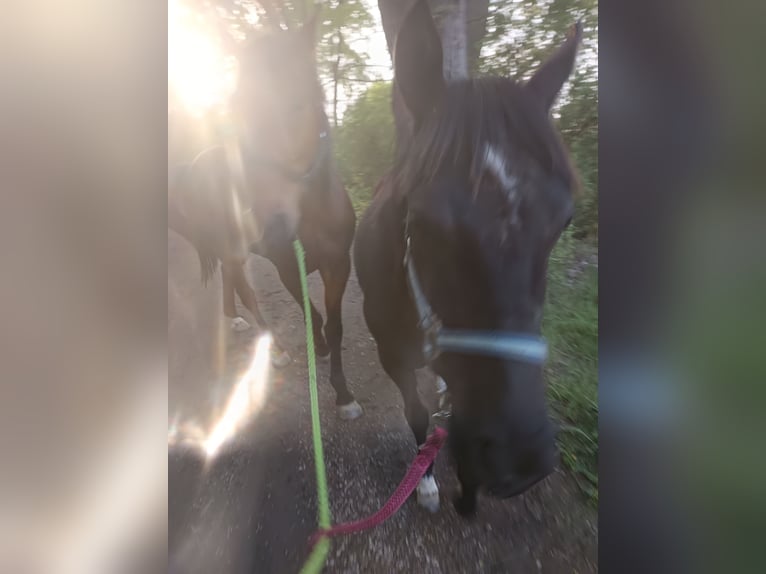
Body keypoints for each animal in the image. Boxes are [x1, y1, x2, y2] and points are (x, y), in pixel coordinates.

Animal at [168, 11, 362, 420]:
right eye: (238, 106)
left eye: (300, 103)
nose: (271, 224)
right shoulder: (288, 267)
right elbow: (312, 316)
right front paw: (318, 350)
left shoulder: (339, 264)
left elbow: (334, 325)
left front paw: (343, 393)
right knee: (245, 290)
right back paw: (278, 351)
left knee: (232, 283)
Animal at [354, 0, 582, 515]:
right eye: (421, 221)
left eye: (563, 220)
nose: (520, 461)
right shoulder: (392, 356)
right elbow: (417, 413)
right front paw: (425, 484)